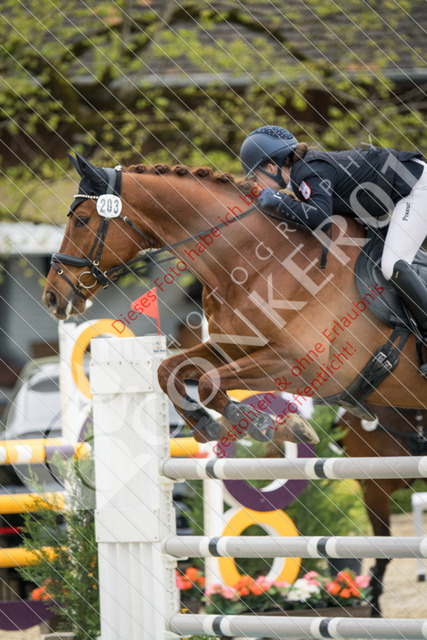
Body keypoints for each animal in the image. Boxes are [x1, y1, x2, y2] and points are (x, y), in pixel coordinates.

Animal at [43, 154, 426, 445]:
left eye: (81, 221)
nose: (52, 297)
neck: (260, 261)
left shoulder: (303, 363)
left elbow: (208, 381)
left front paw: (260, 422)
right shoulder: (231, 347)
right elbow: (170, 371)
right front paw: (209, 425)